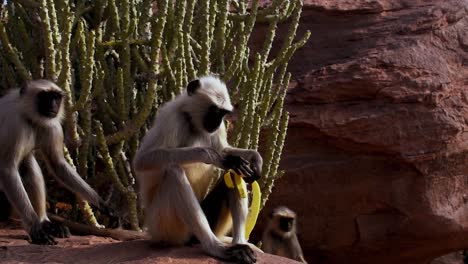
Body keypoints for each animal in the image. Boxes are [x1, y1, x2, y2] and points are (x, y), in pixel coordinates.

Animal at [0, 79, 102, 245]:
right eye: (45, 97)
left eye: (56, 97)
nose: (53, 106)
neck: (26, 114)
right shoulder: (14, 124)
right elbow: (7, 169)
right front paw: (35, 228)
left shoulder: (52, 125)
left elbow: (57, 163)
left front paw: (99, 202)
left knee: (29, 165)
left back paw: (45, 223)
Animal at [133, 76, 264, 264]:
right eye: (214, 111)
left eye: (222, 114)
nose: (217, 122)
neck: (193, 124)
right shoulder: (171, 118)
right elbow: (142, 161)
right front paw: (214, 156)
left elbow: (226, 150)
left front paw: (254, 157)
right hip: (164, 228)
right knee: (174, 172)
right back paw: (214, 247)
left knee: (232, 173)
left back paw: (239, 243)